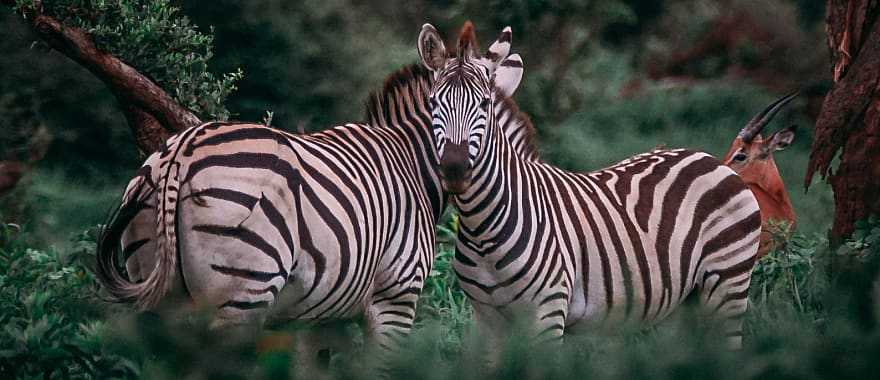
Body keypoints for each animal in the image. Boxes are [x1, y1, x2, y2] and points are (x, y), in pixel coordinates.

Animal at [98, 46, 528, 368]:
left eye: (484, 108)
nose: (455, 169)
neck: (412, 163)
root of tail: (182, 150)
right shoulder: (396, 296)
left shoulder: (322, 315)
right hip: (242, 293)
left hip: (159, 291)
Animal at [416, 20, 760, 354]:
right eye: (432, 102)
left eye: (485, 104)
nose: (455, 170)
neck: (483, 228)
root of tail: (709, 159)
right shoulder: (487, 320)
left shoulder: (548, 312)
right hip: (682, 302)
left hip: (728, 282)